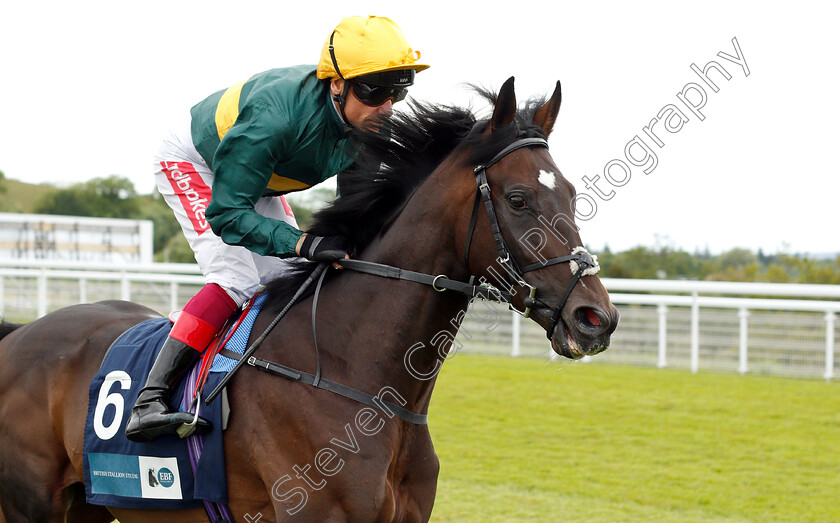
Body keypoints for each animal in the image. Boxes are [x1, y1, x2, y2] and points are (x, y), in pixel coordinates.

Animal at [0, 79, 616, 523]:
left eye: (572, 194)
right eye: (519, 199)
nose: (596, 318)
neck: (362, 380)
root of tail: (21, 334)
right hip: (31, 506)